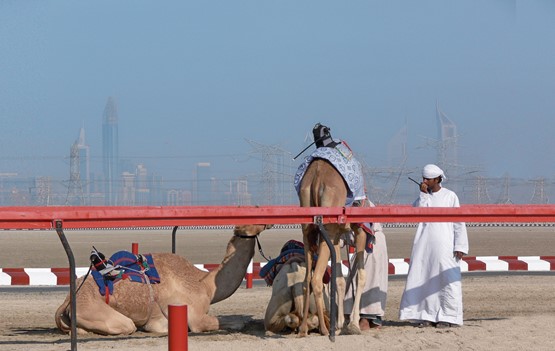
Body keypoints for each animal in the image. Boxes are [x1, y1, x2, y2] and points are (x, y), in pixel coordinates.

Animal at [55, 224, 272, 336]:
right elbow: (231, 323)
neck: (205, 285)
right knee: (126, 326)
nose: (266, 222)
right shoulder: (195, 316)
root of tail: (67, 300)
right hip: (94, 309)